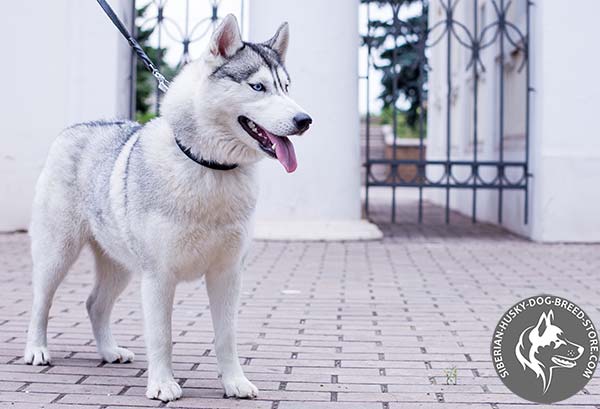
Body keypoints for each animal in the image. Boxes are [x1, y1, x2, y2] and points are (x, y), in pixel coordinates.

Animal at [23, 14, 312, 400]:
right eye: (258, 87)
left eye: (286, 87)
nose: (304, 120)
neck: (210, 168)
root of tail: (81, 125)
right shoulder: (159, 276)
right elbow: (162, 336)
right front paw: (162, 384)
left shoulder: (228, 273)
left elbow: (227, 336)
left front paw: (235, 382)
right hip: (58, 254)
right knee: (41, 301)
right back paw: (37, 349)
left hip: (121, 266)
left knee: (94, 304)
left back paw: (110, 351)